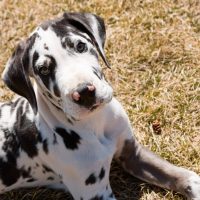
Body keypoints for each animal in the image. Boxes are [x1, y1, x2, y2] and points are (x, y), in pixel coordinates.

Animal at [0, 12, 199, 200]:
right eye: (43, 69)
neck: (95, 122)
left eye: (80, 46)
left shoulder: (133, 154)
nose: (84, 92)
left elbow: (182, 175)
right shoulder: (96, 193)